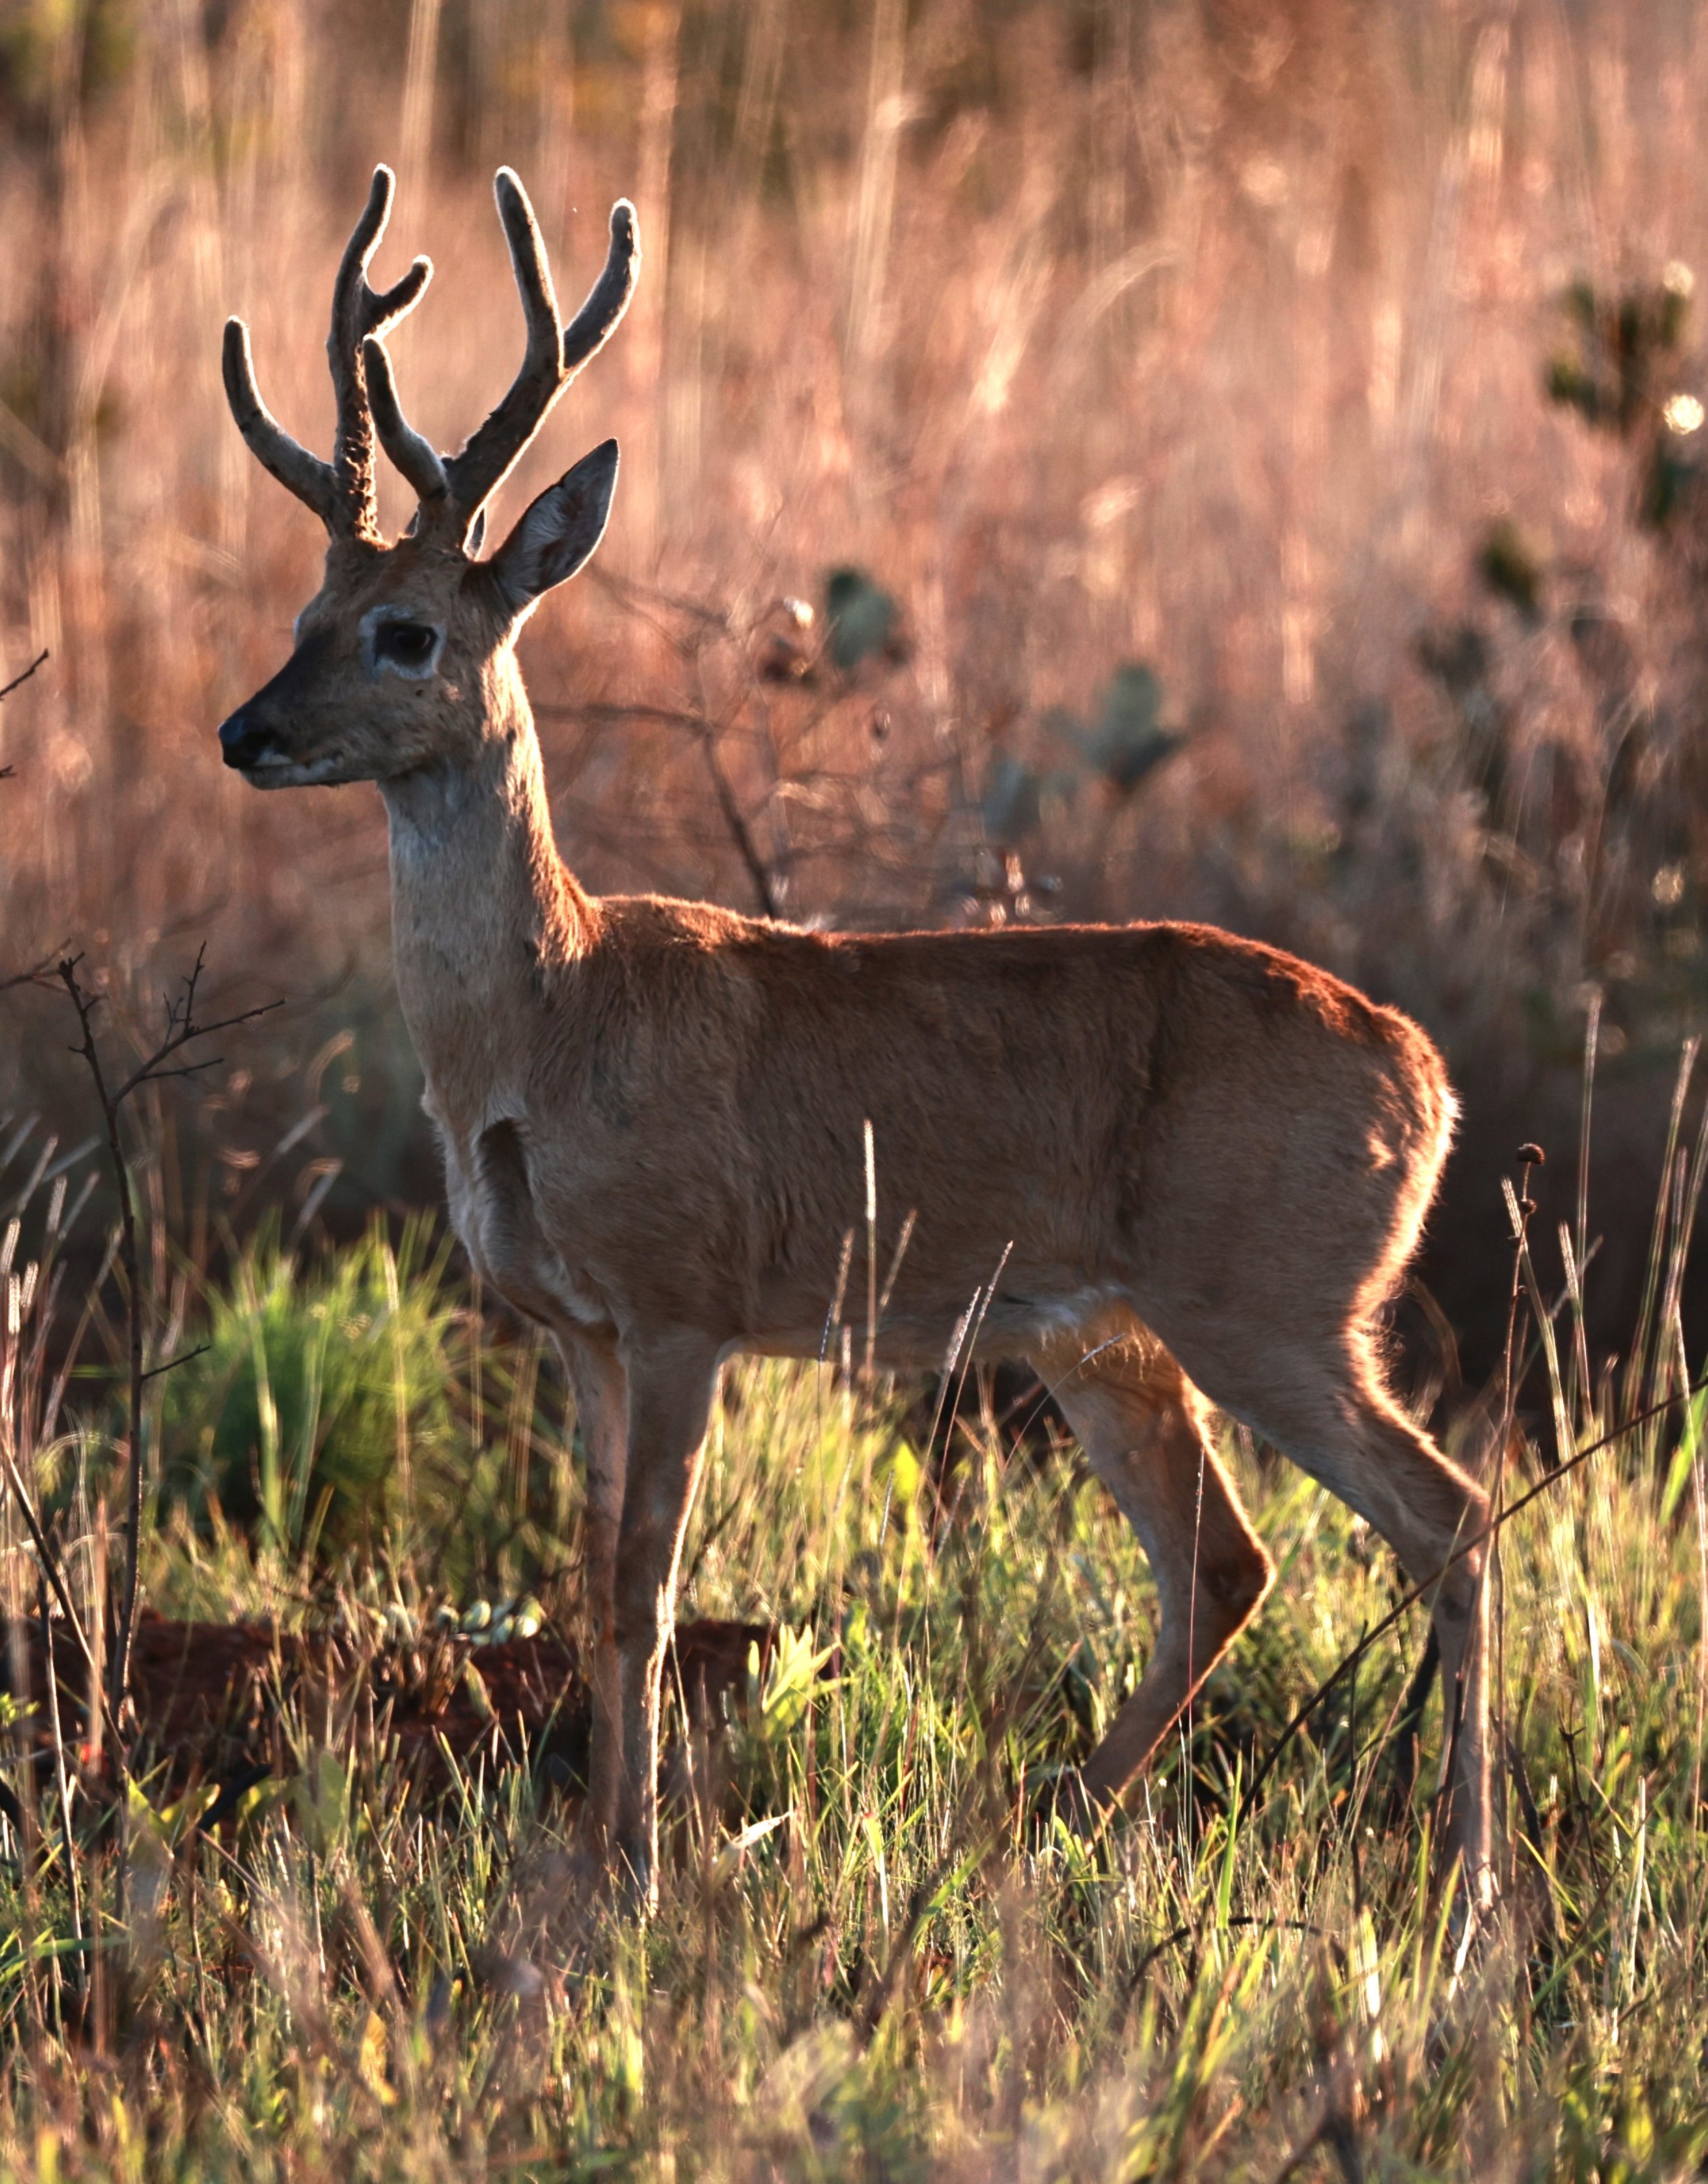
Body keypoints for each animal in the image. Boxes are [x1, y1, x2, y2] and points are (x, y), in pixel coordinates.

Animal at [216, 166, 1493, 1911]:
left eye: (406, 630)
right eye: (305, 608)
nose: (246, 729)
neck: (549, 1021)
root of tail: (1425, 1079)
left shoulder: (684, 1299)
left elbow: (646, 1583)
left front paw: (636, 1864)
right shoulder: (574, 1325)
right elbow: (589, 1574)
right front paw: (597, 1846)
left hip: (1276, 1298)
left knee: (1448, 1516)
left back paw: (1470, 1890)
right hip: (1103, 1329)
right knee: (1224, 1559)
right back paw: (1051, 1821)